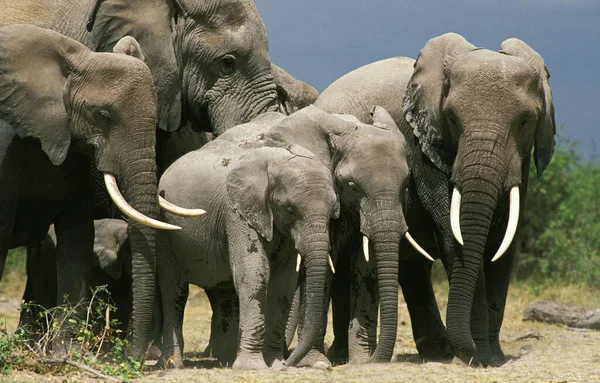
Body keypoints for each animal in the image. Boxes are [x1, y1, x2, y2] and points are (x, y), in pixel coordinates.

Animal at [157, 131, 340, 368]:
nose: (290, 362)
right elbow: (254, 274)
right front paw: (253, 366)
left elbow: (284, 282)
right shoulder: (237, 212)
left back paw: (225, 360)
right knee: (174, 290)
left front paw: (275, 364)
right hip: (165, 230)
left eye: (333, 212)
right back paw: (172, 364)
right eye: (290, 209)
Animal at [396, 33, 556, 366]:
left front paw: (494, 358)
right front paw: (481, 358)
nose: (468, 353)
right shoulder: (422, 144)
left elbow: (504, 241)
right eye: (452, 119)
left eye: (525, 122)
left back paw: (439, 353)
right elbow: (455, 234)